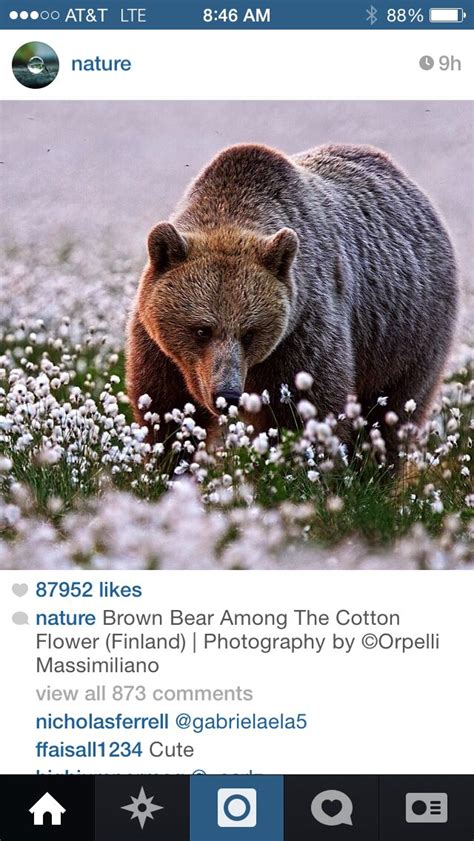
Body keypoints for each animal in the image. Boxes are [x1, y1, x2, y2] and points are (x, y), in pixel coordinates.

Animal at [125, 142, 456, 462]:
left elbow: (305, 411)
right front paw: (168, 464)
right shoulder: (160, 349)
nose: (227, 395)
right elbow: (165, 410)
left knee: (391, 415)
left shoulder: (301, 332)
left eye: (250, 332)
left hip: (407, 337)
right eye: (201, 330)